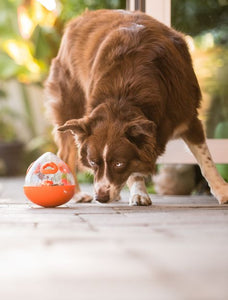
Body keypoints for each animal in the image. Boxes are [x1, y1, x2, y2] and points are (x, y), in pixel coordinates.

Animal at [45, 9, 227, 206]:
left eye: (118, 164)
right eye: (93, 162)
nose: (101, 198)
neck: (125, 95)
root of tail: (79, 19)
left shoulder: (188, 118)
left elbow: (206, 161)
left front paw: (222, 191)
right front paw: (138, 192)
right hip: (71, 106)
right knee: (65, 155)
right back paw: (77, 194)